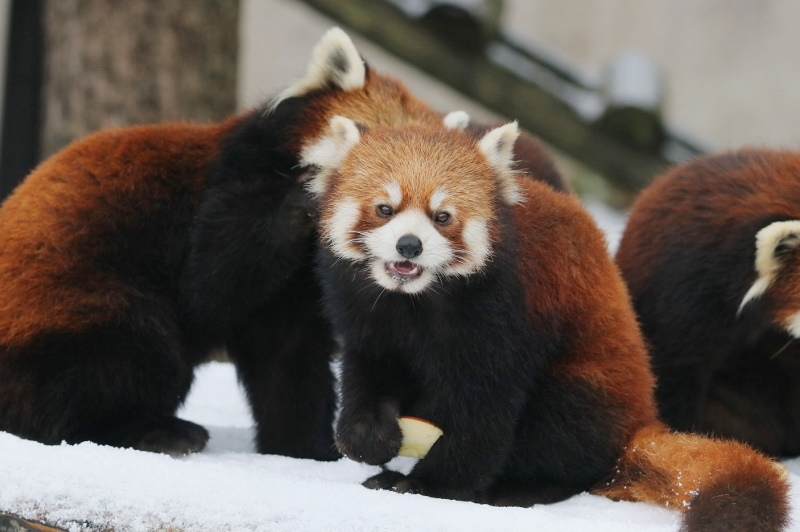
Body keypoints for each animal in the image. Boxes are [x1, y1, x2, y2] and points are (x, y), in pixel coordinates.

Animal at [0, 26, 564, 458]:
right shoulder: (227, 189)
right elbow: (208, 287)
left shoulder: (300, 294)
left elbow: (290, 361)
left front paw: (304, 449)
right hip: (81, 299)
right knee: (135, 351)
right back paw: (149, 429)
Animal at [304, 117, 792, 532]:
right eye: (384, 209)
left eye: (442, 217)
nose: (409, 245)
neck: (416, 300)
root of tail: (642, 417)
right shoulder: (364, 311)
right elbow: (369, 368)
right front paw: (369, 438)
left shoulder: (507, 311)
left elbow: (482, 410)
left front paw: (432, 485)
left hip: (589, 387)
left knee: (561, 426)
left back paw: (520, 488)